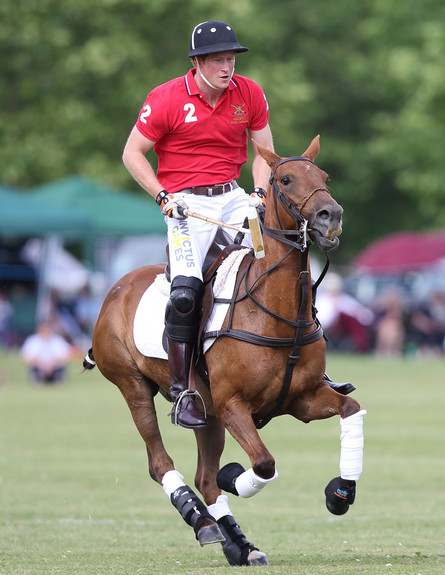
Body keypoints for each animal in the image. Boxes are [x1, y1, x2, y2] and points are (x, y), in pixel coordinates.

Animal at [84, 137, 364, 568]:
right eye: (286, 179)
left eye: (324, 176)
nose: (330, 216)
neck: (278, 315)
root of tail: (116, 288)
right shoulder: (235, 406)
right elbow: (263, 464)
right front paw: (234, 474)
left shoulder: (302, 398)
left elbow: (350, 408)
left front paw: (340, 493)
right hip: (134, 386)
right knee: (161, 462)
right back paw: (202, 521)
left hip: (208, 411)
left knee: (203, 475)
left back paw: (240, 545)